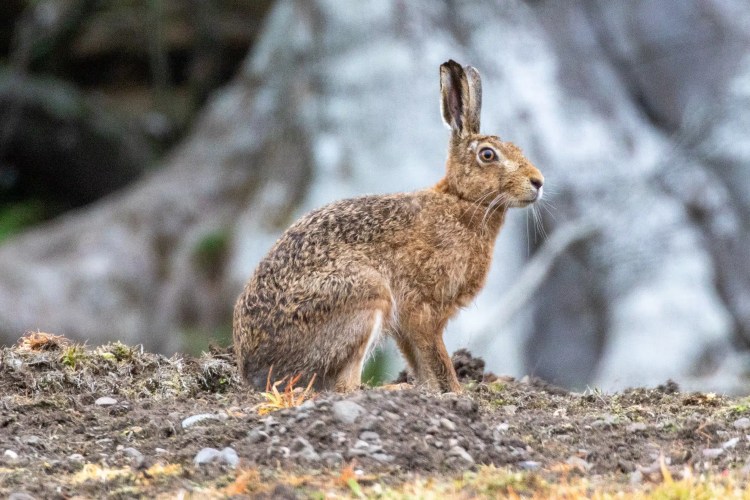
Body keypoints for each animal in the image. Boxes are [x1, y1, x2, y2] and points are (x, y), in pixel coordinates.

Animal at [233, 60, 544, 393]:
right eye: (488, 155)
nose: (538, 182)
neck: (462, 199)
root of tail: (253, 369)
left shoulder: (407, 325)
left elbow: (421, 361)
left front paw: (434, 390)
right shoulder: (421, 308)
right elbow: (437, 356)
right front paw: (456, 392)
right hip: (367, 295)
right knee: (345, 387)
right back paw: (395, 390)